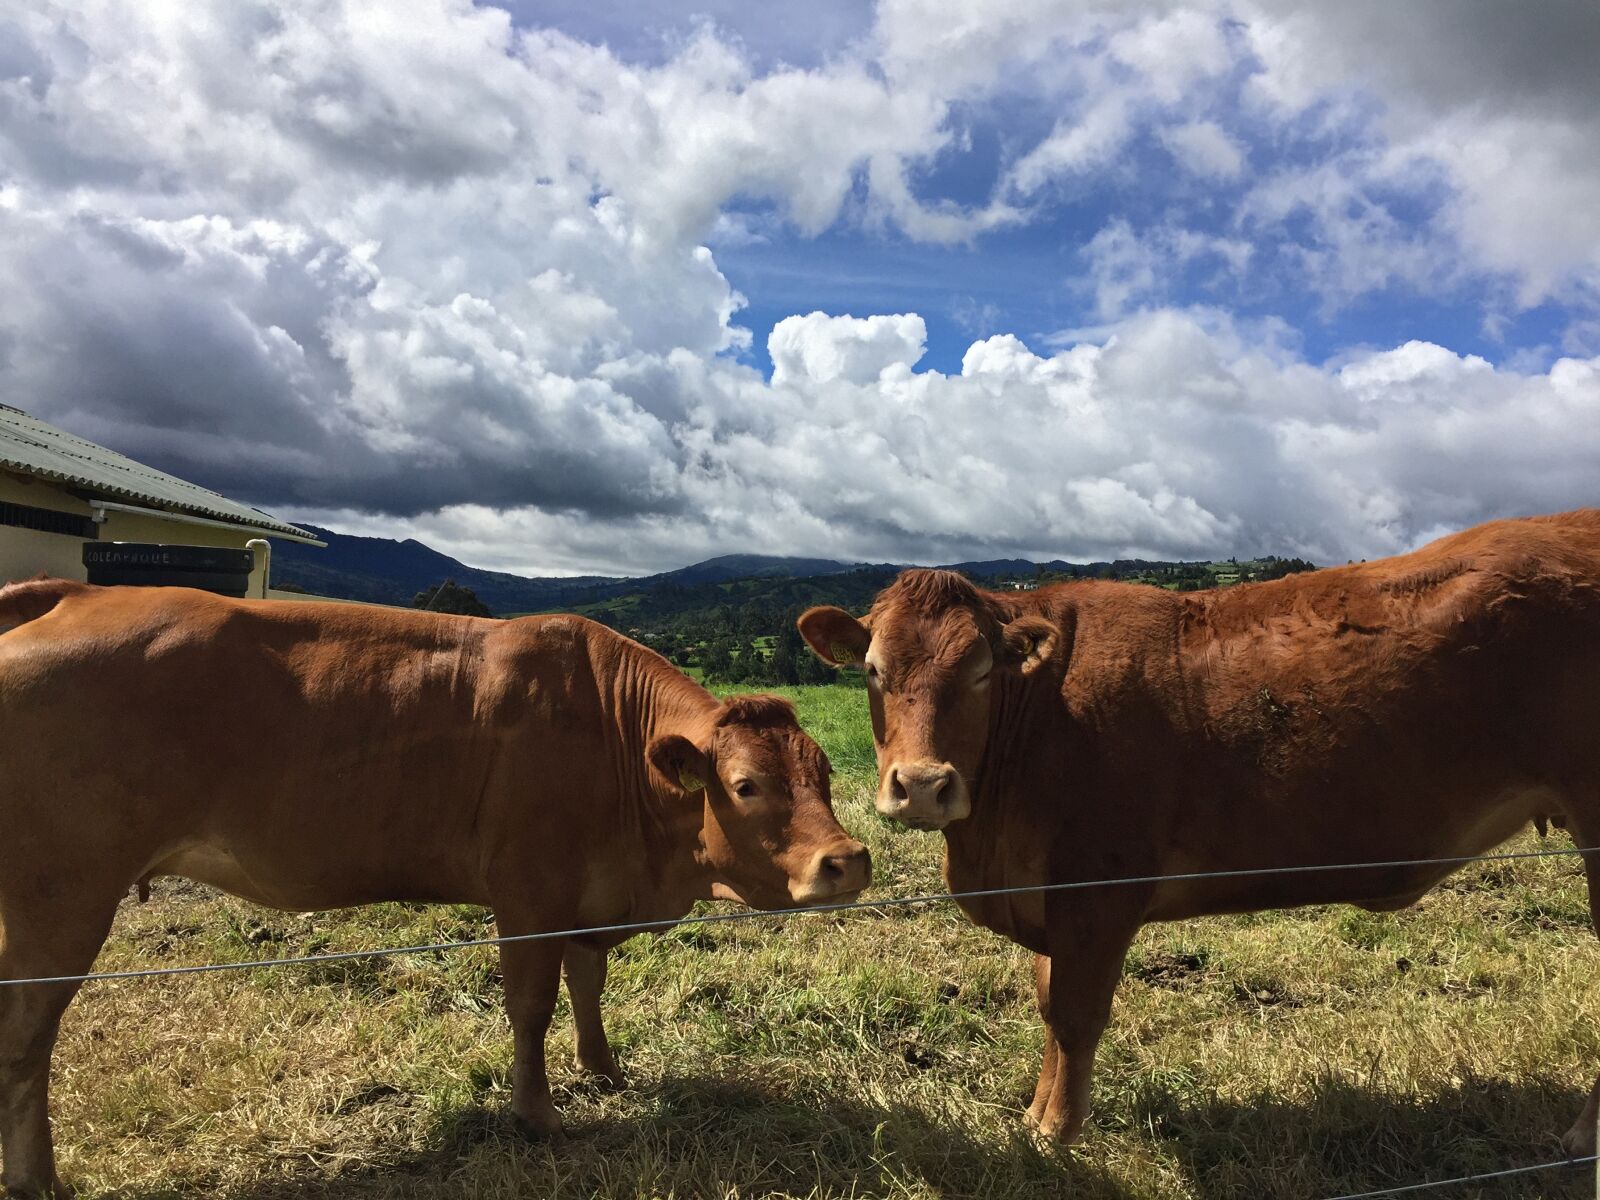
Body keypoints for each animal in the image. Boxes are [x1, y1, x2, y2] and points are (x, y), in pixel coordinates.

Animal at [0, 579, 869, 1198]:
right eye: (746, 785)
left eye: (825, 772)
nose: (849, 860)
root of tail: (70, 592)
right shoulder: (528, 894)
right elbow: (533, 1006)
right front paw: (538, 1115)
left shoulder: (585, 896)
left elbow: (589, 980)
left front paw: (604, 1070)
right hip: (62, 894)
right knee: (27, 1033)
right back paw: (39, 1180)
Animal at [798, 508, 1600, 1154]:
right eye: (872, 670)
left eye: (980, 671)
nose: (922, 785)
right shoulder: (1054, 899)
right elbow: (1050, 1007)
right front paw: (1033, 1119)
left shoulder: (1100, 890)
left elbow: (1077, 1016)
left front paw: (1058, 1133)